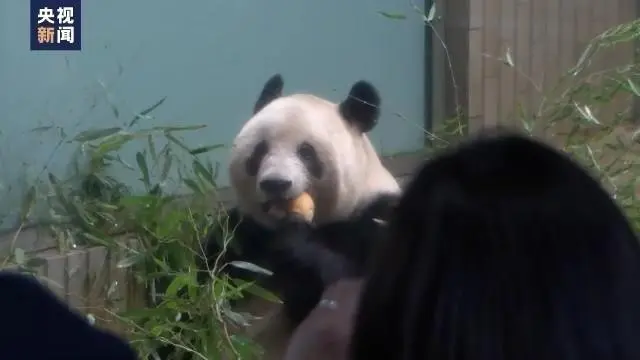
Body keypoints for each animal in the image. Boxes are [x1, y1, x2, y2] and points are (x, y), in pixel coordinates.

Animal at [188, 74, 400, 358]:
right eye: (260, 150)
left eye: (306, 152)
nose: (276, 184)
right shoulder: (239, 235)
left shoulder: (379, 219)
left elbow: (341, 282)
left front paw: (294, 239)